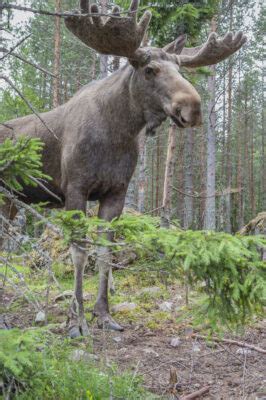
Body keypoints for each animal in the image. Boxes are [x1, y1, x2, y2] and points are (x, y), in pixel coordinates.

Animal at [0, 0, 246, 338]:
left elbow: (106, 253)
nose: (193, 108)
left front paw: (103, 314)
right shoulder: (75, 189)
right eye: (150, 69)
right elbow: (80, 252)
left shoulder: (116, 192)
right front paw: (76, 320)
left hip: (11, 202)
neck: (118, 133)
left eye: (180, 69)